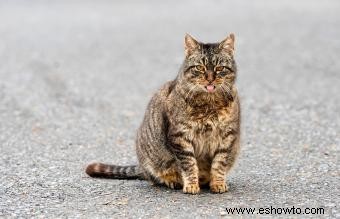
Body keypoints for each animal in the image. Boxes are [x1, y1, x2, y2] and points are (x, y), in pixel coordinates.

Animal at [87, 33, 242, 194]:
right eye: (199, 67)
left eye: (220, 68)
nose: (210, 79)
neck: (209, 103)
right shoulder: (180, 136)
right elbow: (189, 164)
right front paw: (191, 185)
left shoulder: (228, 136)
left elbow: (219, 163)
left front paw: (217, 183)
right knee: (155, 177)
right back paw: (172, 181)